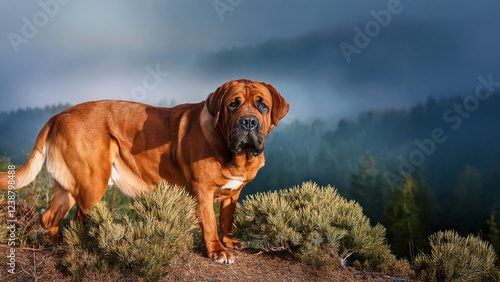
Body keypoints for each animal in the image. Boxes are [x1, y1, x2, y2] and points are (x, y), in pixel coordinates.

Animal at [0, 78, 290, 264]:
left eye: (262, 105)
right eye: (232, 104)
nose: (249, 122)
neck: (236, 155)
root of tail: (56, 116)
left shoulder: (232, 194)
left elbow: (227, 219)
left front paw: (230, 243)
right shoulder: (203, 191)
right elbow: (209, 224)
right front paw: (217, 251)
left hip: (69, 185)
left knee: (50, 217)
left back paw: (58, 243)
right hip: (93, 182)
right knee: (80, 220)